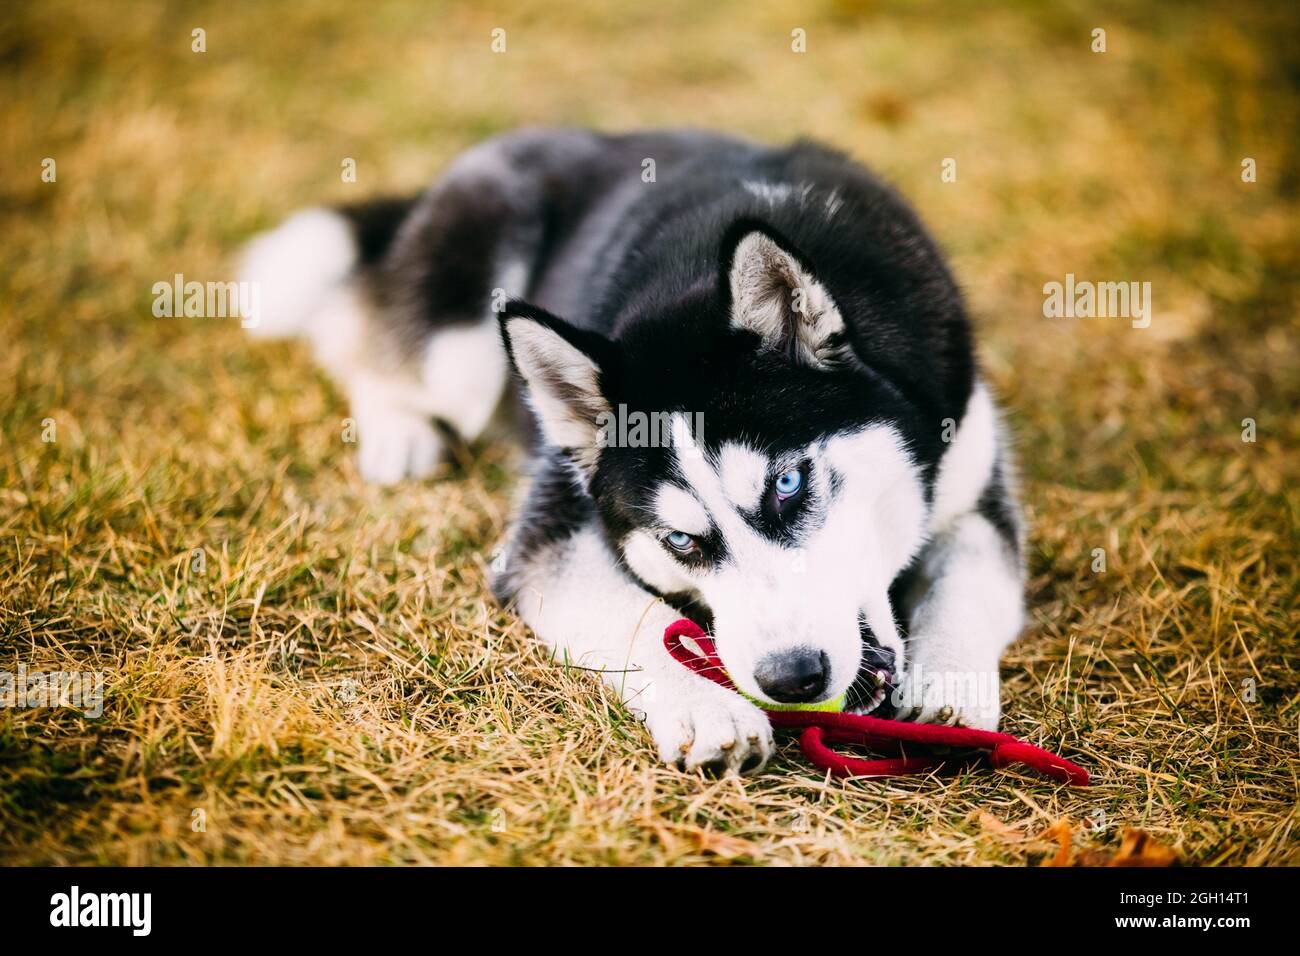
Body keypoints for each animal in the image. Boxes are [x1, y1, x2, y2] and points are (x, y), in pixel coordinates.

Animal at [244, 127, 1024, 775]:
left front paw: (952, 681)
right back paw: (397, 431)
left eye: (789, 484)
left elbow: (972, 573)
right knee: (358, 332)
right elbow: (643, 617)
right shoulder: (552, 527)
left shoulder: (972, 473)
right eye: (679, 540)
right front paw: (708, 708)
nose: (792, 678)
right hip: (461, 348)